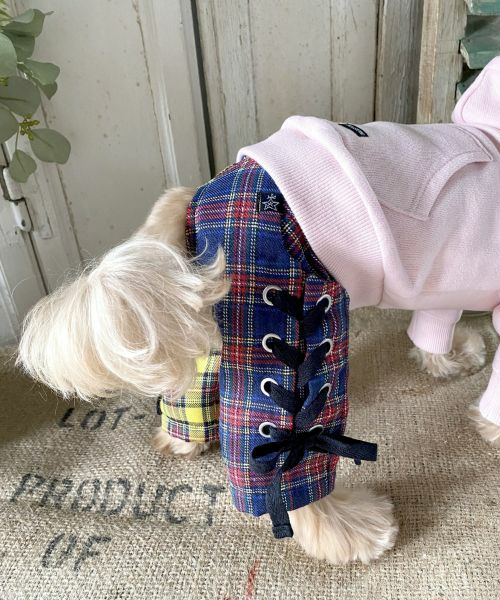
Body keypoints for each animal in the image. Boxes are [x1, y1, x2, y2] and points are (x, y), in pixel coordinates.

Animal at [17, 57, 500, 564]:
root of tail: (204, 190)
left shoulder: (442, 285)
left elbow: (434, 328)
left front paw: (451, 359)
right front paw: (492, 424)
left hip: (215, 316)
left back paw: (181, 441)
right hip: (295, 321)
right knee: (284, 452)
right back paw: (347, 529)